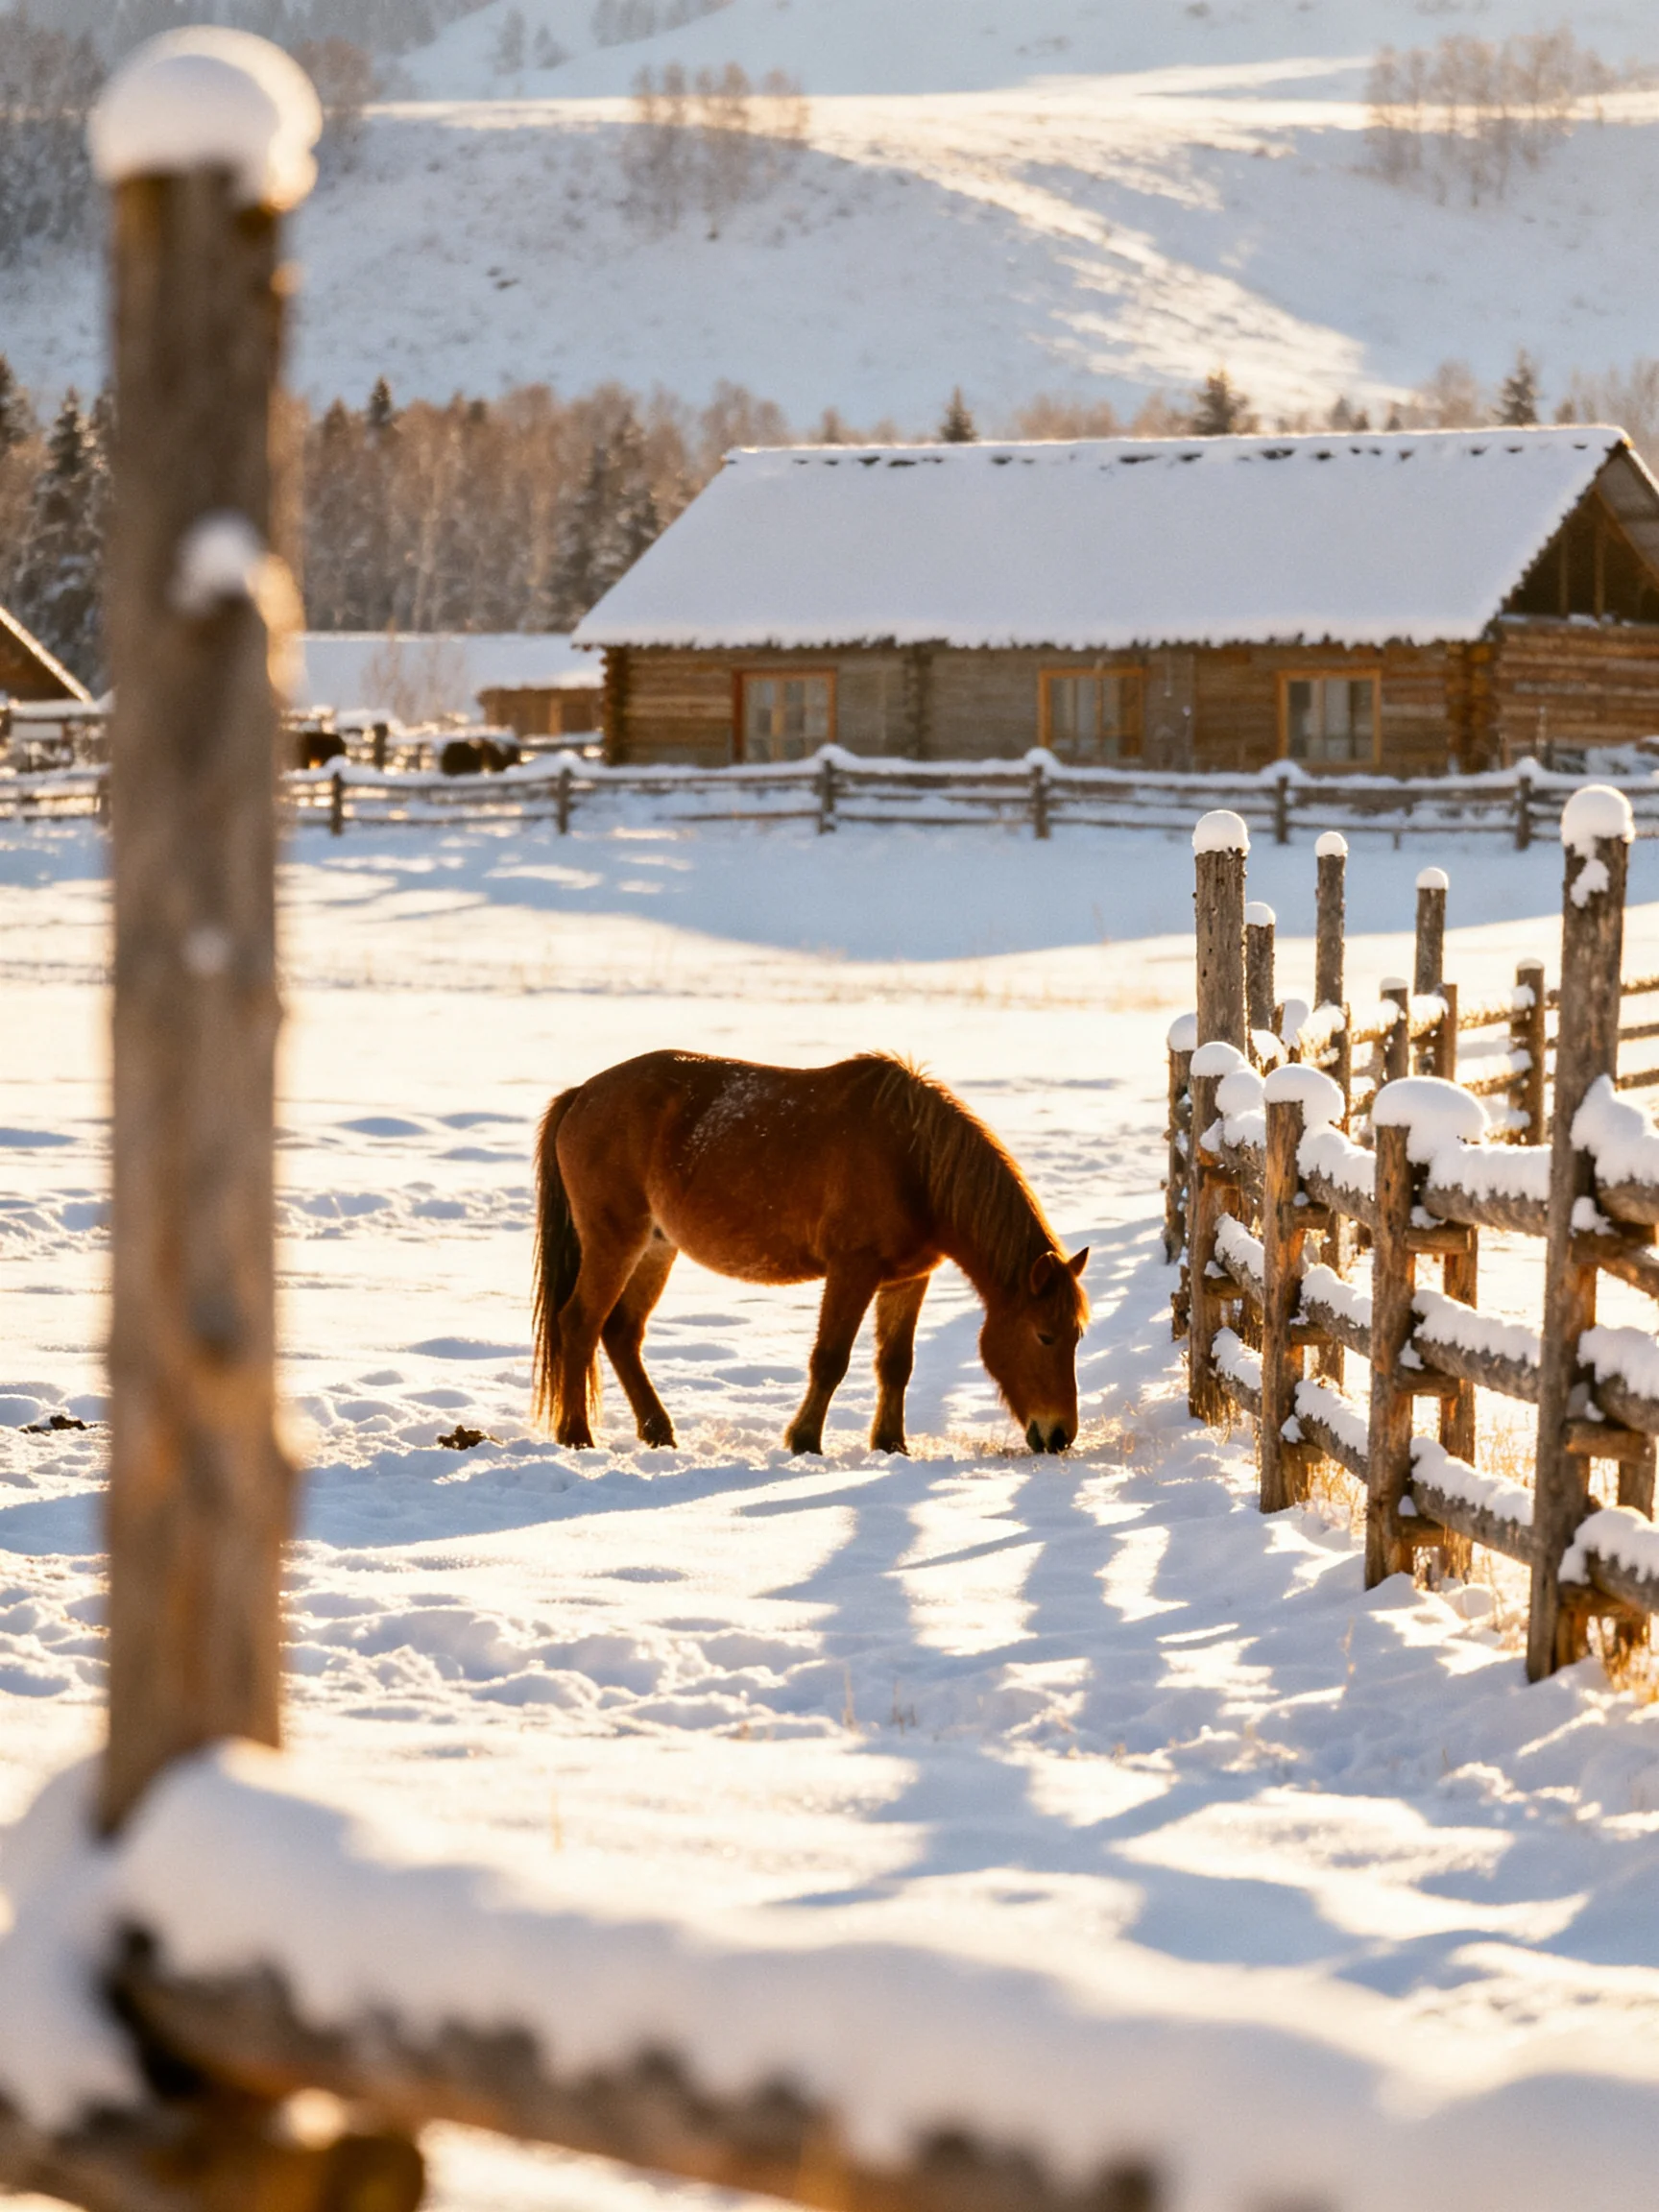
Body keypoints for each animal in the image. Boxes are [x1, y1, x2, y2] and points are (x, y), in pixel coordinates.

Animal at [532, 1050, 1089, 1458]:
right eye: (1044, 1335)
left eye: (1077, 1336)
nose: (1060, 1435)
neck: (912, 1161)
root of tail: (581, 1095)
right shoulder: (852, 1269)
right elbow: (830, 1359)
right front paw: (804, 1441)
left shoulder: (908, 1279)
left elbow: (896, 1363)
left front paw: (891, 1445)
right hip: (613, 1241)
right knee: (579, 1324)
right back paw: (577, 1436)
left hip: (655, 1247)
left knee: (621, 1333)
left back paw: (658, 1432)